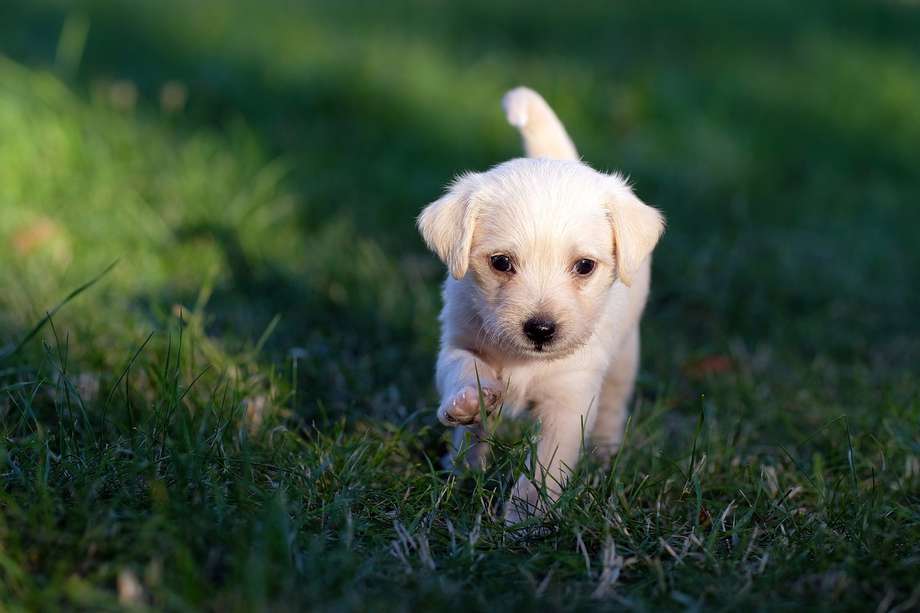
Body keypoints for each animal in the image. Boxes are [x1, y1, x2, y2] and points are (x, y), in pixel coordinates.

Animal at [416, 83, 660, 520]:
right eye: (501, 262)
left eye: (584, 266)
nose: (541, 329)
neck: (523, 361)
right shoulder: (458, 341)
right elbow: (463, 369)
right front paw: (468, 401)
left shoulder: (569, 400)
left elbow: (544, 468)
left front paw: (524, 519)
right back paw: (462, 468)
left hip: (625, 358)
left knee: (613, 407)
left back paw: (604, 456)